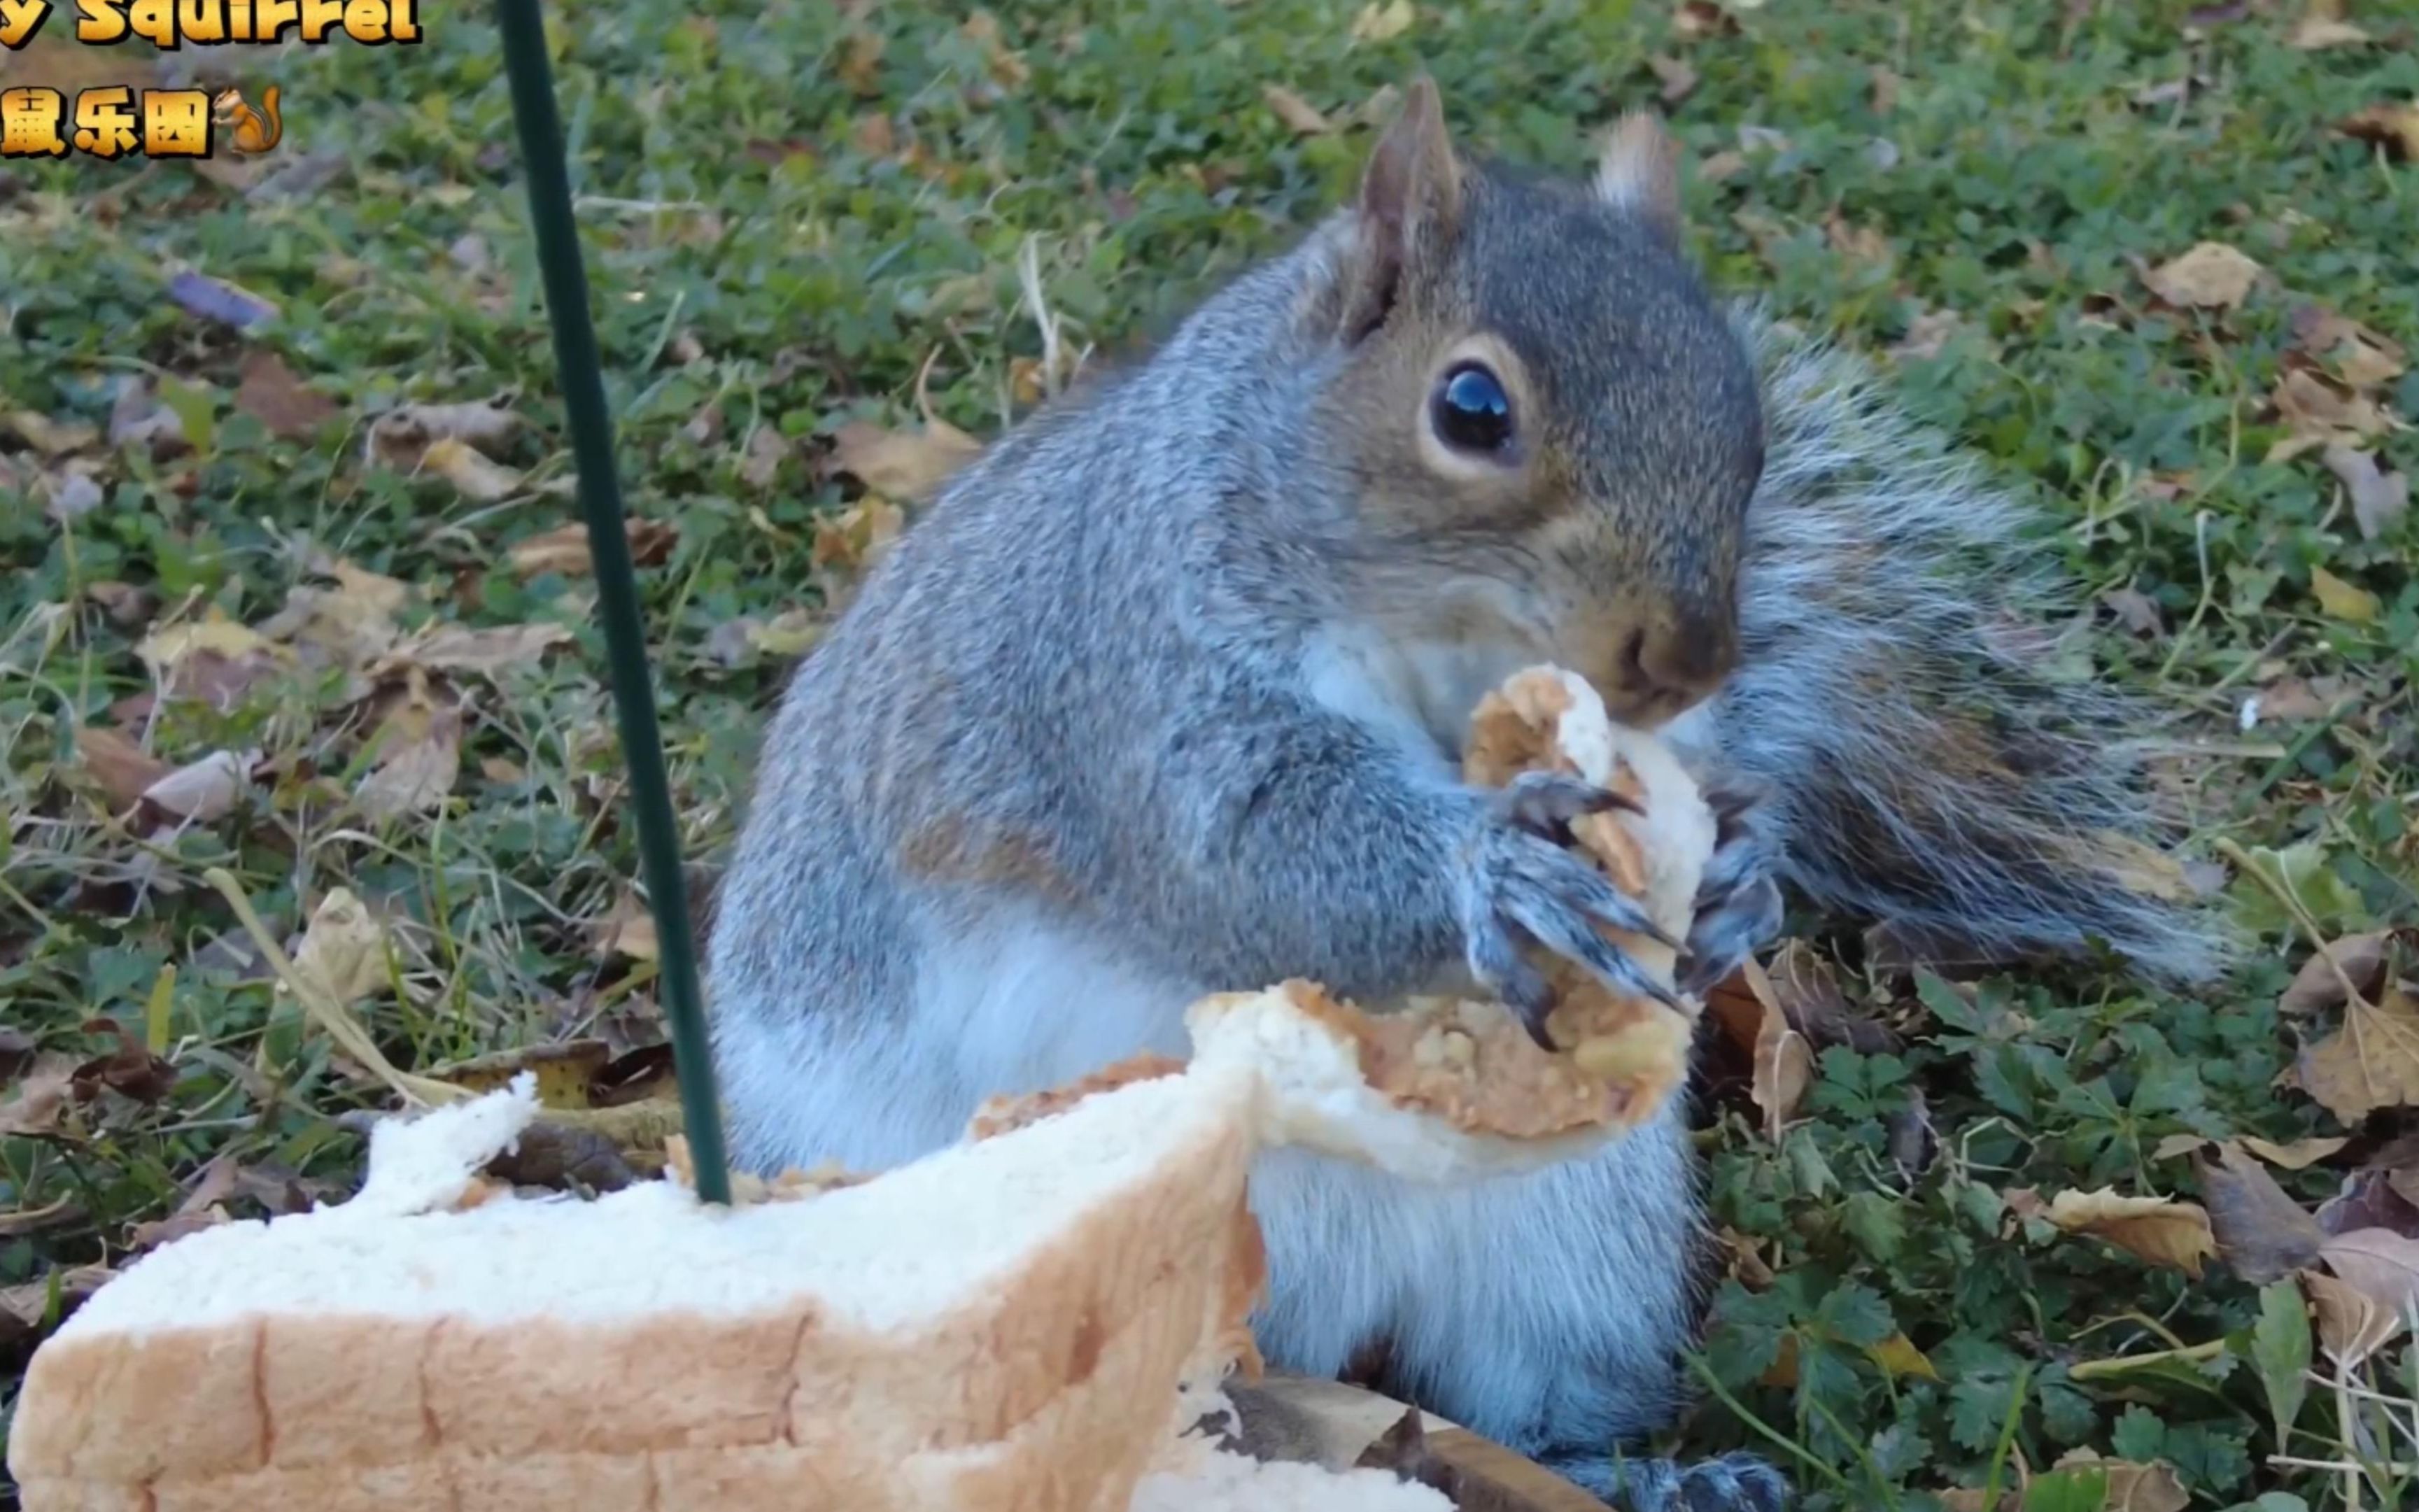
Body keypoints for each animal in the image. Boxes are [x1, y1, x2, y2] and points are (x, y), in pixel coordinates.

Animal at [696, 82, 2215, 1509]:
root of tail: (1316, 1325)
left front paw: (1742, 875)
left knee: (1527, 1410)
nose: (1690, 658)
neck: (1435, 636)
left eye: (1746, 419)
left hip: (1574, 1246)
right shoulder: (1122, 668)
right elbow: (1242, 845)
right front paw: (1499, 872)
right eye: (1470, 409)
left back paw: (1652, 1475)